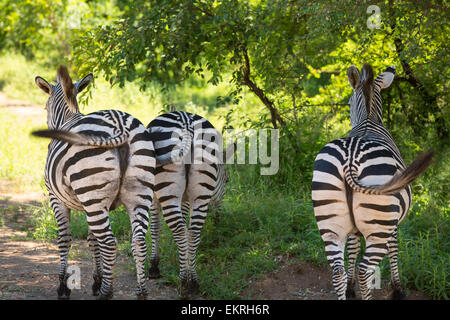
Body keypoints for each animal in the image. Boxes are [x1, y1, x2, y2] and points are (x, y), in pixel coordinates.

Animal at [31, 65, 155, 300]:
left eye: (44, 107)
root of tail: (119, 123)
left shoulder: (56, 198)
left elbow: (65, 238)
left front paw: (63, 287)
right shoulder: (92, 204)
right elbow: (92, 240)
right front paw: (97, 280)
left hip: (93, 194)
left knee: (110, 242)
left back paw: (107, 293)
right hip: (138, 194)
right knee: (138, 242)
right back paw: (141, 292)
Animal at [146, 110, 236, 298]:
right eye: (227, 180)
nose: (218, 220)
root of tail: (186, 124)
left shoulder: (155, 196)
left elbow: (156, 227)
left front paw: (154, 266)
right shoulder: (186, 200)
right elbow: (183, 226)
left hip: (169, 190)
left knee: (180, 231)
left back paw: (183, 283)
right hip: (201, 194)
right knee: (193, 232)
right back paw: (193, 282)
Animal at [312, 64, 434, 300]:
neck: (368, 120)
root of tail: (350, 160)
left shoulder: (353, 228)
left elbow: (352, 248)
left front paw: (350, 289)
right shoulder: (393, 222)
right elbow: (394, 248)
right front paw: (397, 289)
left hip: (329, 222)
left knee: (337, 272)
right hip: (379, 224)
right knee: (364, 271)